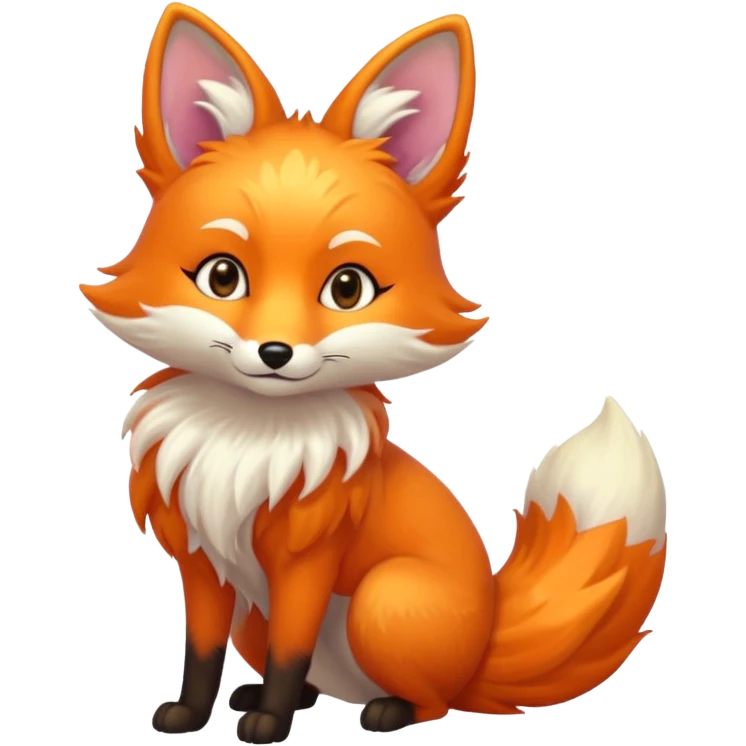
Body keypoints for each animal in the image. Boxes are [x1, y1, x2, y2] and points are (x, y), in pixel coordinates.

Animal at [79, 4, 669, 743]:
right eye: (222, 277)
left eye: (347, 288)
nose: (275, 353)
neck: (247, 440)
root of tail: (484, 642)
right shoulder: (205, 563)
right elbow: (203, 652)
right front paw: (191, 714)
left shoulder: (306, 564)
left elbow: (290, 649)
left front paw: (270, 724)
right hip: (256, 615)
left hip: (383, 601)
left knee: (434, 699)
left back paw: (386, 710)